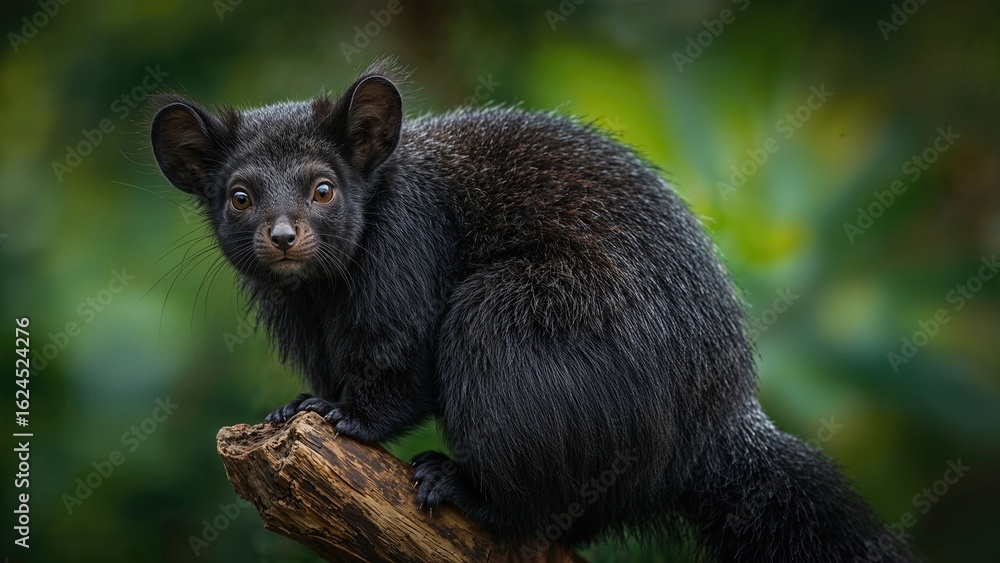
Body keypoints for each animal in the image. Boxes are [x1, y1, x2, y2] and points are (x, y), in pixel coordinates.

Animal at [150, 60, 916, 561]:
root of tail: (718, 424)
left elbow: (399, 367)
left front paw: (344, 417)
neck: (320, 292)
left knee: (530, 497)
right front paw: (295, 407)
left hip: (513, 317)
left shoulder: (406, 253)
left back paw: (457, 483)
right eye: (239, 196)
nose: (283, 236)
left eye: (322, 187)